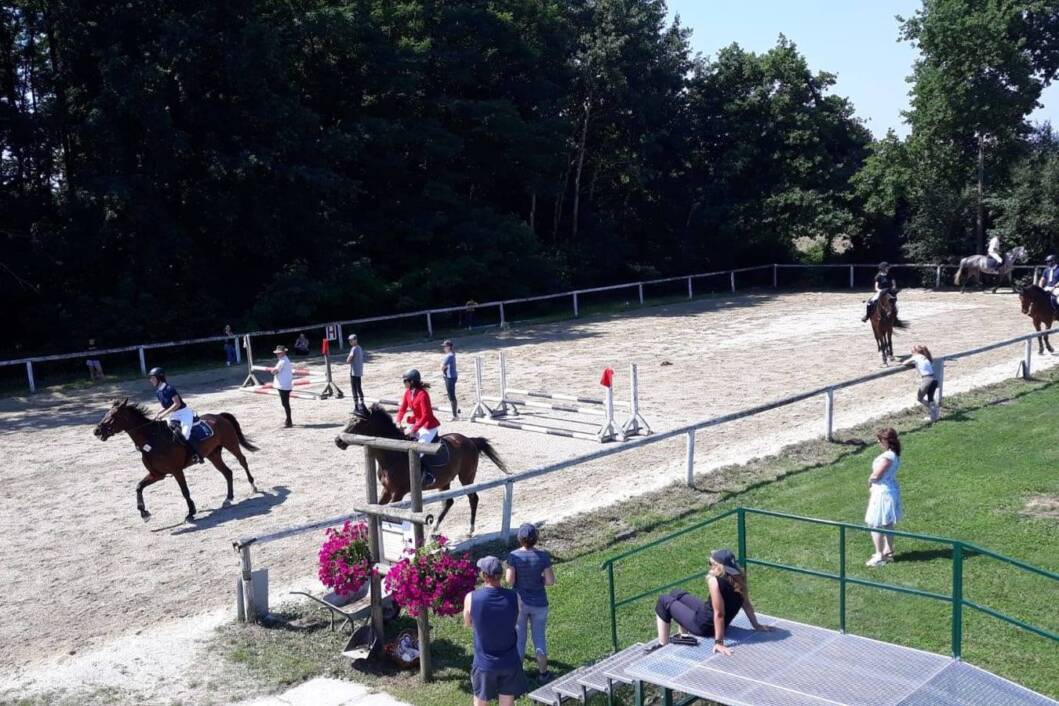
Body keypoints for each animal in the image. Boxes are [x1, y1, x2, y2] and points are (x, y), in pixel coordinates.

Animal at [95, 400, 260, 522]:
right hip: (213, 455)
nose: (96, 431)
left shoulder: (176, 470)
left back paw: (253, 486)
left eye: (113, 415)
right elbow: (139, 487)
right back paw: (228, 498)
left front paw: (191, 512)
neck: (152, 439)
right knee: (227, 473)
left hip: (231, 444)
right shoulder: (157, 474)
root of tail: (219, 416)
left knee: (242, 461)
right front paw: (144, 513)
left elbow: (184, 491)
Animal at [334, 402, 508, 535]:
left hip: (466, 477)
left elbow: (389, 511)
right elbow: (377, 507)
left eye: (358, 422)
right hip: (444, 481)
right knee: (448, 502)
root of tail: (470, 440)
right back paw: (434, 528)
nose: (338, 441)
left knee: (473, 498)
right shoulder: (387, 490)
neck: (391, 453)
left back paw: (470, 530)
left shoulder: (398, 492)